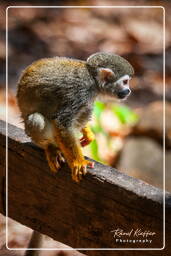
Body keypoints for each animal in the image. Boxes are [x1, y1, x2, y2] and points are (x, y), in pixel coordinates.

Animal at [16, 52, 134, 182]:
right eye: (125, 82)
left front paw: (88, 134)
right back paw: (50, 147)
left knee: (87, 108)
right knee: (36, 120)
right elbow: (63, 122)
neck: (92, 79)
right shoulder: (79, 92)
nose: (128, 91)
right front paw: (79, 162)